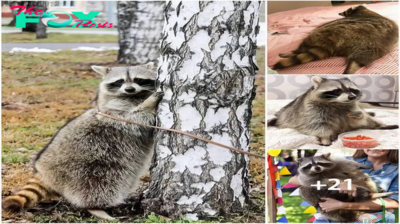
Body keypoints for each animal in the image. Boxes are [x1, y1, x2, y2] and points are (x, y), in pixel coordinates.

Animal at [3, 63, 162, 214]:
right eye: (120, 81)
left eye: (138, 79)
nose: (129, 89)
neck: (133, 96)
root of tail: (43, 173)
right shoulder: (114, 113)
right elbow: (134, 119)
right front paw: (149, 103)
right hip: (83, 169)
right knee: (101, 185)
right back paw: (97, 205)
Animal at [268, 75, 398, 145]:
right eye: (337, 91)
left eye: (352, 89)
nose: (352, 97)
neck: (337, 103)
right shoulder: (311, 110)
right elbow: (317, 125)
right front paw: (325, 137)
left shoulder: (351, 108)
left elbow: (358, 119)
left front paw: (359, 115)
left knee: (370, 120)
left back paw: (382, 125)